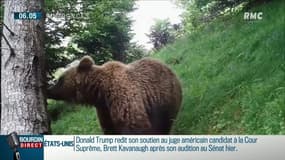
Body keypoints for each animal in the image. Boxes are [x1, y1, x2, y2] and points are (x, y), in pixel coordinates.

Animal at [46, 55, 180, 134]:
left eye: (60, 79)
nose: (48, 89)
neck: (100, 91)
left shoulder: (122, 97)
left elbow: (136, 125)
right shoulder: (104, 109)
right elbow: (110, 129)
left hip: (165, 99)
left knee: (165, 122)